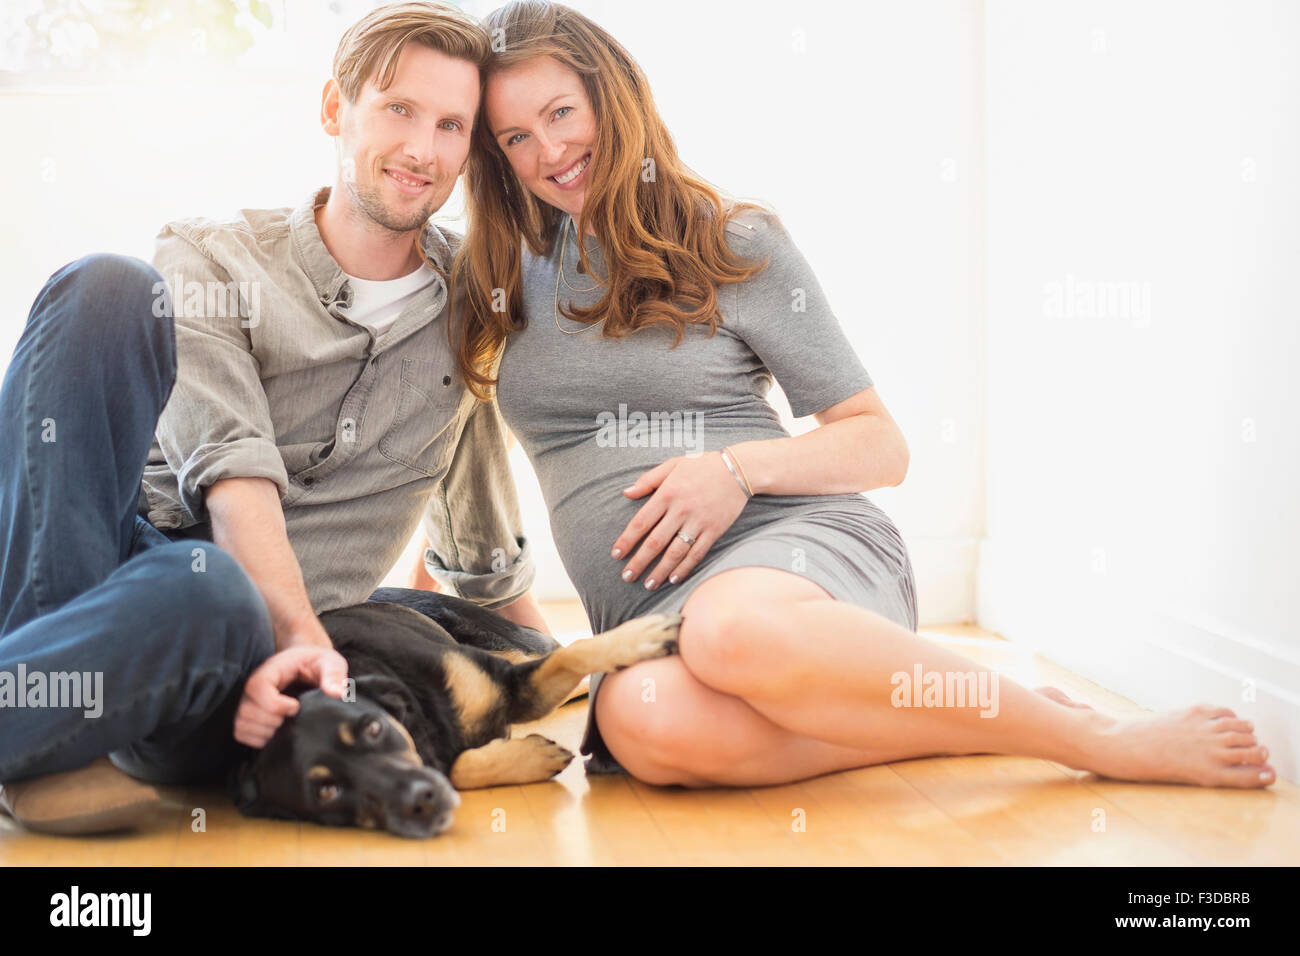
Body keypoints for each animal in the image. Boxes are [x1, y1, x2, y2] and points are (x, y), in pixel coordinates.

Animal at [232, 590, 681, 837]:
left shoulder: (506, 680)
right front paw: (531, 757)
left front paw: (641, 637)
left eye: (373, 729)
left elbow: (575, 654)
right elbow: (460, 767)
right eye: (326, 791)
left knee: (565, 652)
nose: (418, 801)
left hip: (506, 645)